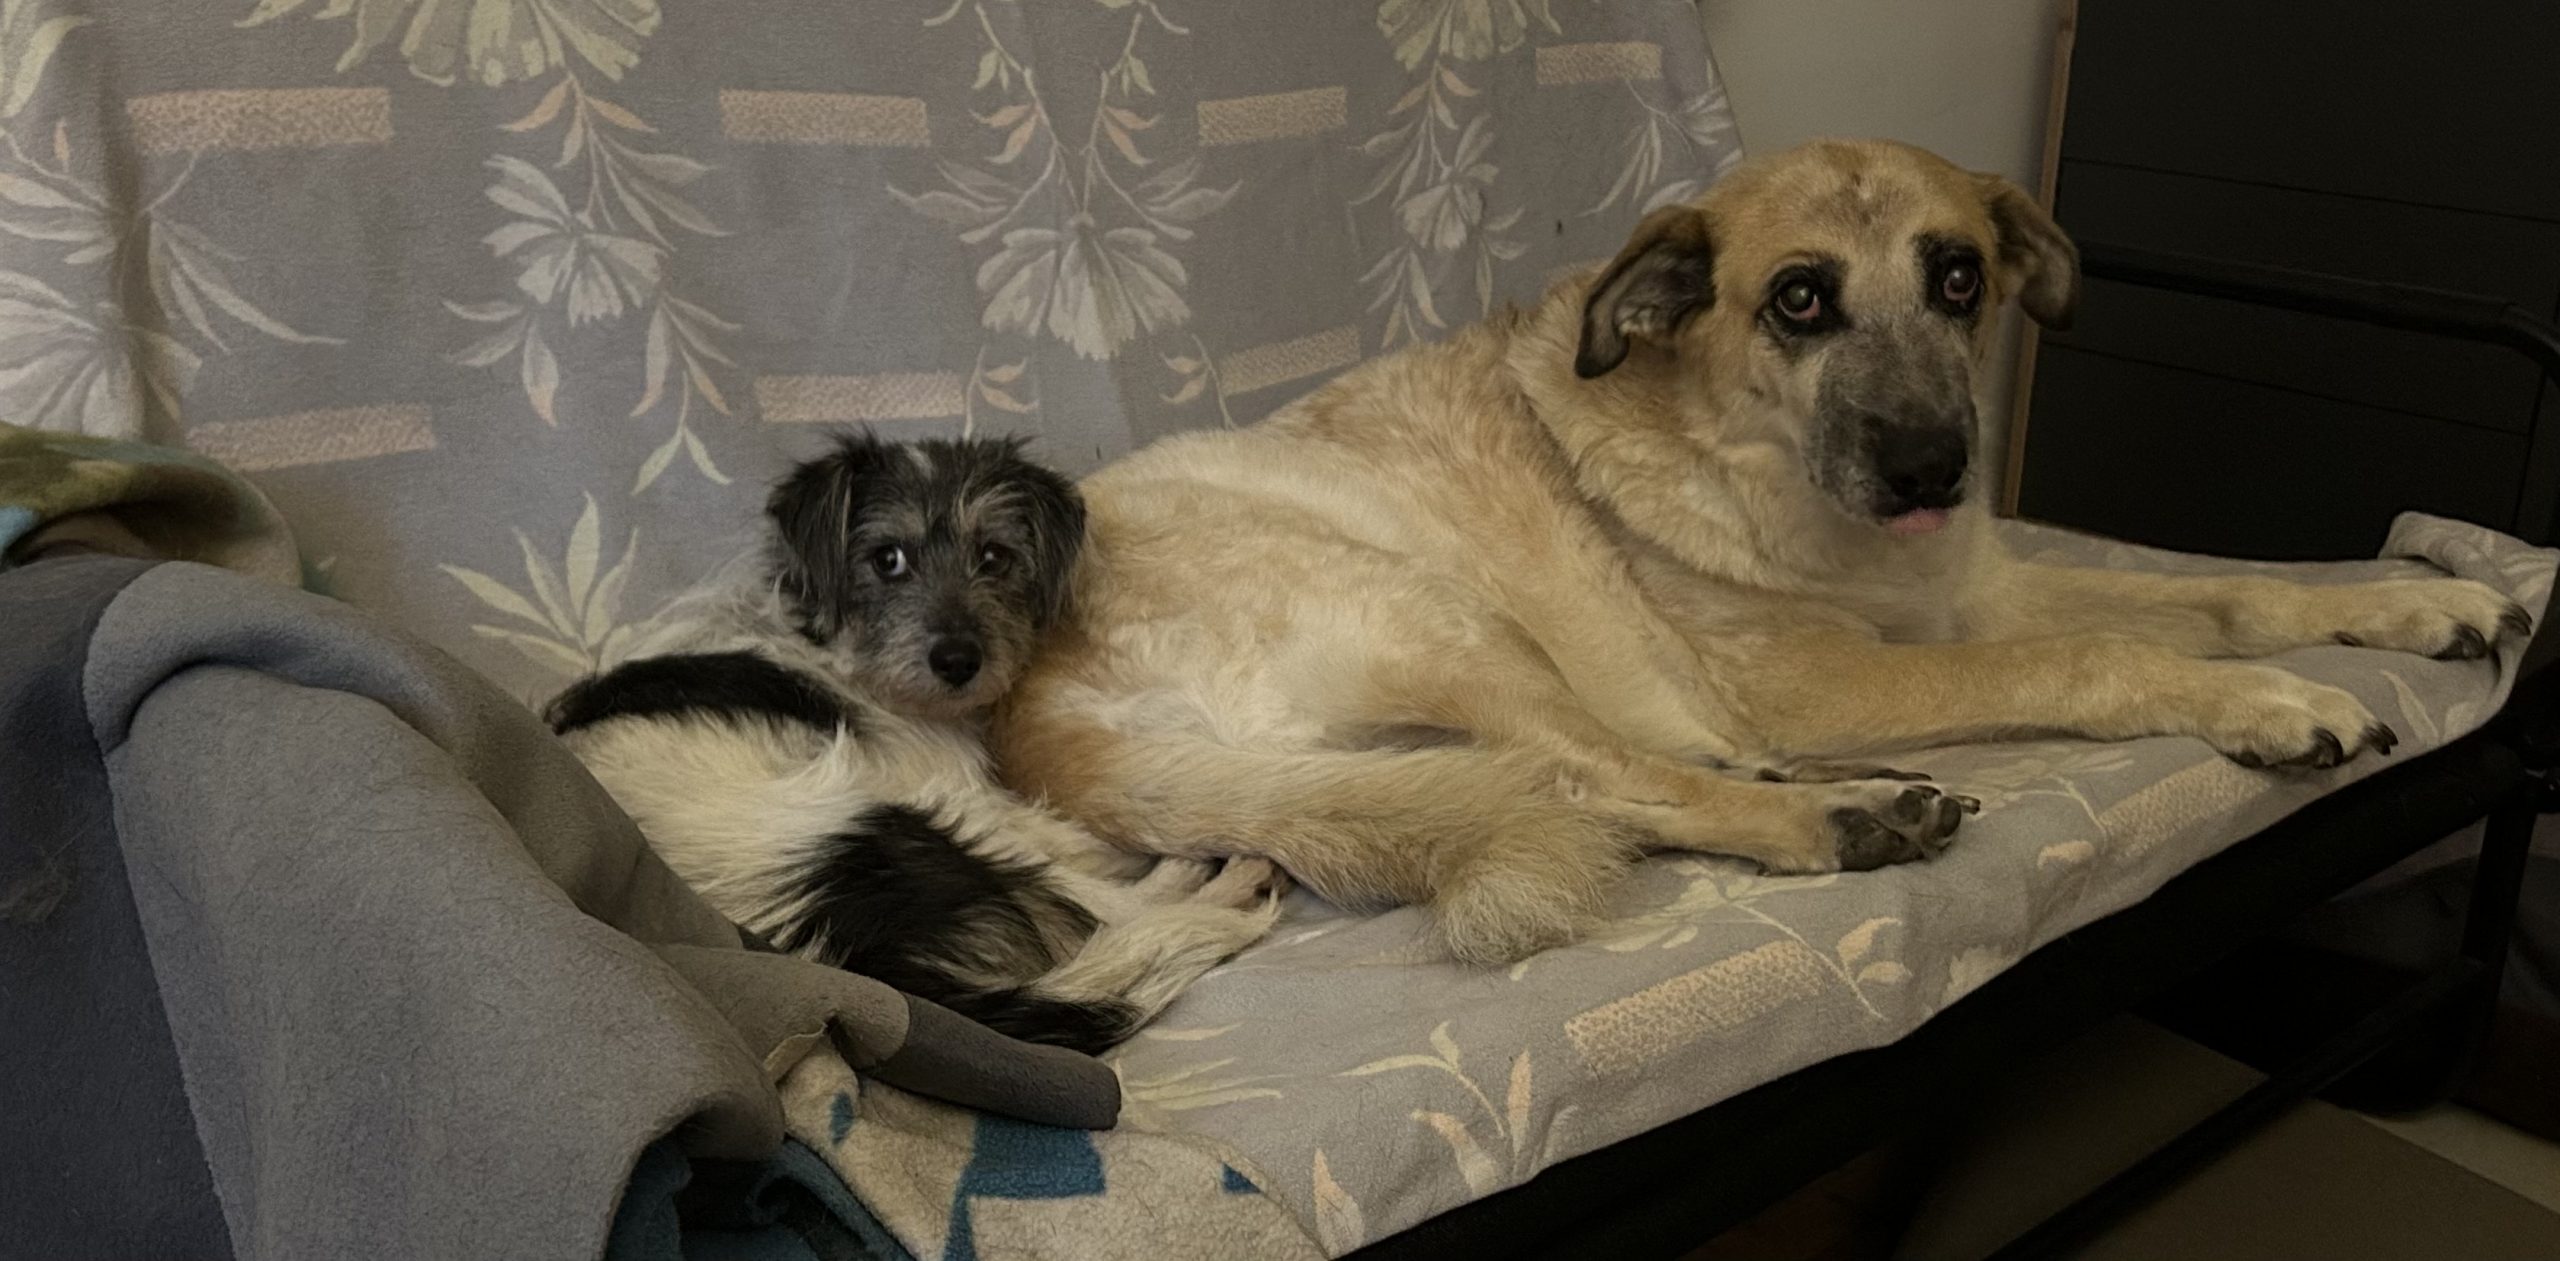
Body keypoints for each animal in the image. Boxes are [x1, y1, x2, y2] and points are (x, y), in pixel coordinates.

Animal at [548, 433, 1283, 1052]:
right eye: (888, 559)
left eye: (993, 556)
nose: (958, 659)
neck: (832, 645)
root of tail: (856, 969)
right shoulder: (955, 786)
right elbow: (1072, 844)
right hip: (896, 822)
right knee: (1105, 907)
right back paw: (1213, 879)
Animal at [993, 138, 2532, 966]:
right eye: (1799, 300)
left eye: (1959, 278)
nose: (1934, 468)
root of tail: (1032, 718)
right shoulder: (1820, 671)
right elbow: (2104, 649)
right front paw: (2270, 704)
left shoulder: (1975, 588)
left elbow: (2220, 591)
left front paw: (2425, 604)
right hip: (1444, 614)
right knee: (1599, 778)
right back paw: (1837, 816)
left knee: (1599, 775)